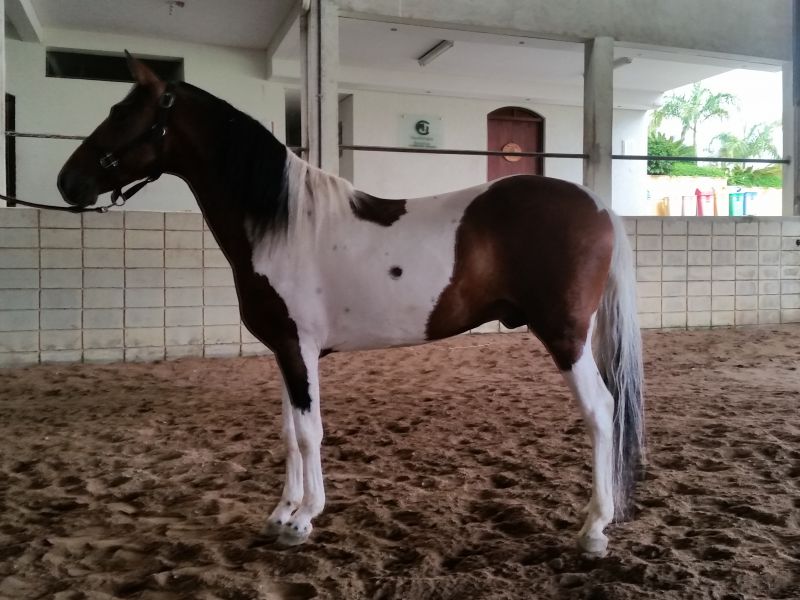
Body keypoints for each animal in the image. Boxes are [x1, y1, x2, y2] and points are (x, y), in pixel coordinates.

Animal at [57, 54, 644, 557]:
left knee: (601, 411)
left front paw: (303, 519)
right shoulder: (286, 351)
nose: (68, 183)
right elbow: (289, 432)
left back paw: (594, 529)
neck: (282, 224)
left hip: (565, 335)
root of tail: (596, 205)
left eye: (121, 113)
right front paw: (281, 512)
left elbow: (309, 432)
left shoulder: (299, 348)